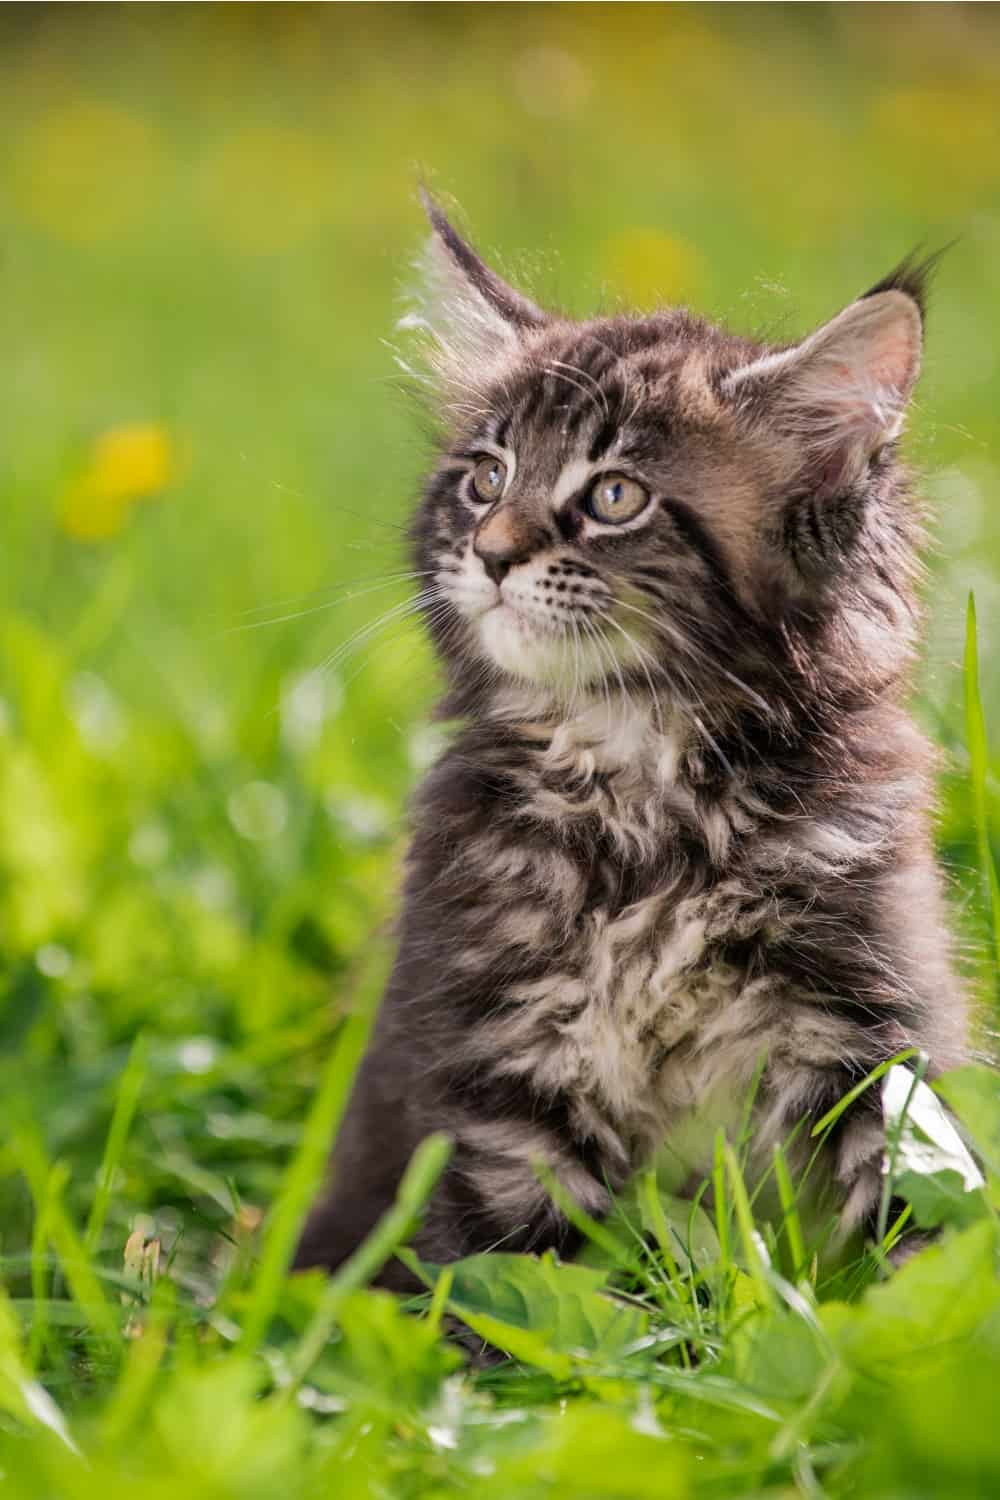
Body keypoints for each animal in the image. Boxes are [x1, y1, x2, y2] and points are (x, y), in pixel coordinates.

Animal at [293, 193, 965, 1284]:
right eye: (486, 478)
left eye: (614, 496)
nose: (489, 553)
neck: (640, 783)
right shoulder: (501, 1070)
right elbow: (510, 1288)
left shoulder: (877, 1034)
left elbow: (923, 1231)